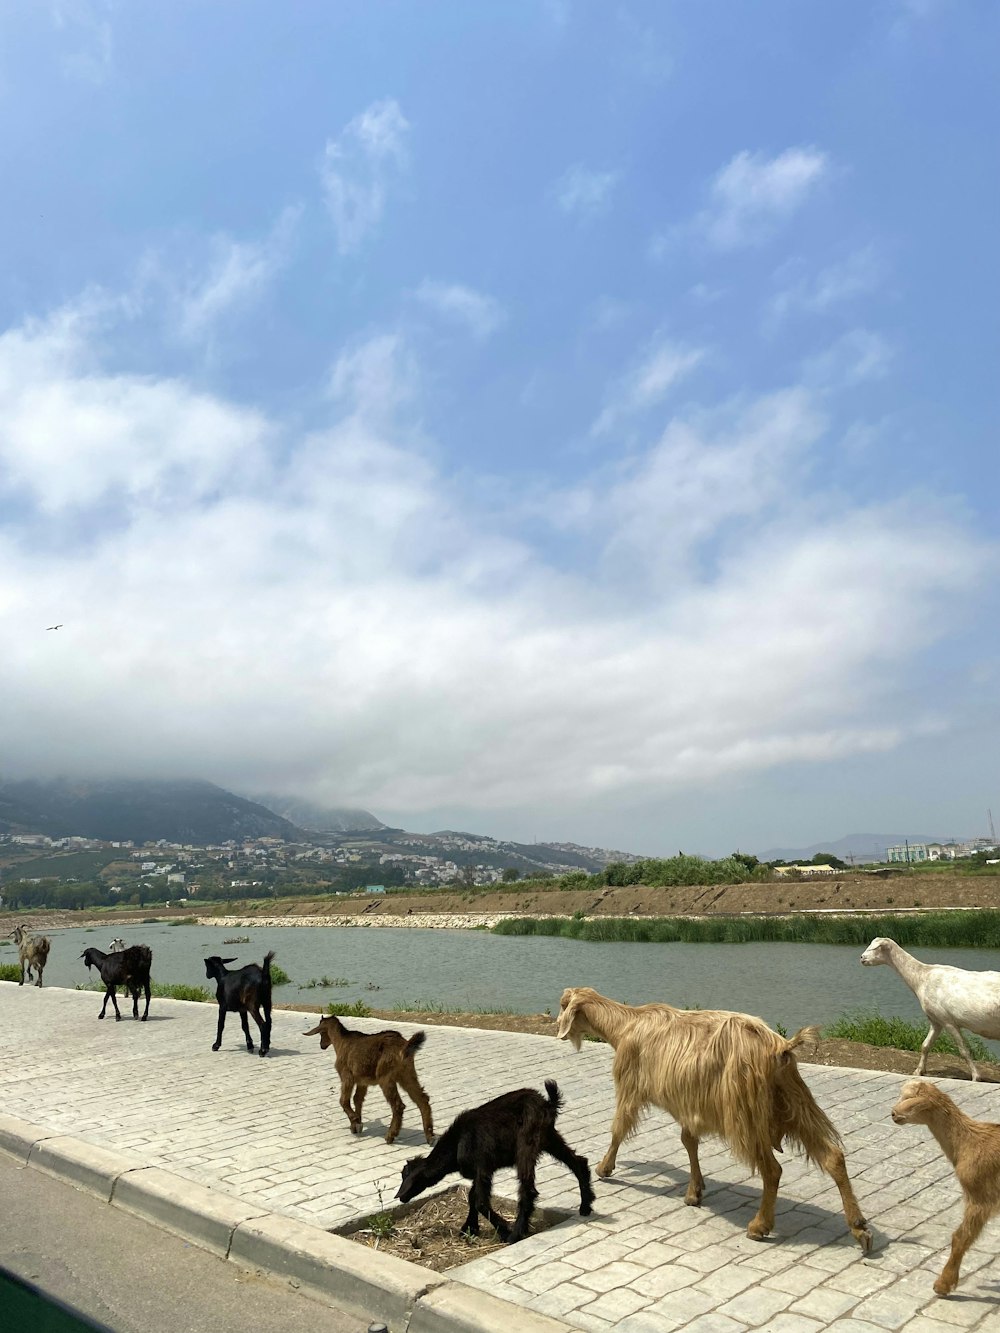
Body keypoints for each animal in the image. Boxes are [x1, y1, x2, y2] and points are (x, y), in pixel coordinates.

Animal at [394, 1077, 594, 1242]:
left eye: (410, 1179)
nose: (401, 1197)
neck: (457, 1144)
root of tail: (548, 1104)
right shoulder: (479, 1172)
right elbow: (472, 1197)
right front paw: (469, 1229)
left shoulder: (483, 1168)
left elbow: (480, 1201)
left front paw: (503, 1229)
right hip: (548, 1138)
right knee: (578, 1162)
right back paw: (585, 1206)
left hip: (527, 1143)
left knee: (527, 1189)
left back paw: (516, 1234)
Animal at [560, 981, 874, 1247]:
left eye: (563, 1004)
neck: (627, 1024)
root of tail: (781, 1047)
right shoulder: (689, 1106)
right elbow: (689, 1142)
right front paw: (694, 1192)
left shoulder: (630, 1085)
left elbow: (618, 1128)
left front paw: (604, 1168)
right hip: (795, 1103)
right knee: (833, 1156)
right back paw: (860, 1228)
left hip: (745, 1115)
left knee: (773, 1170)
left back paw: (759, 1226)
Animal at [864, 938, 1000, 1082]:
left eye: (875, 948)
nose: (862, 957)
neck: (922, 978)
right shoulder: (935, 1020)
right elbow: (925, 1045)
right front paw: (918, 1071)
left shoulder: (947, 1020)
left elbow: (964, 1051)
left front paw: (976, 1077)